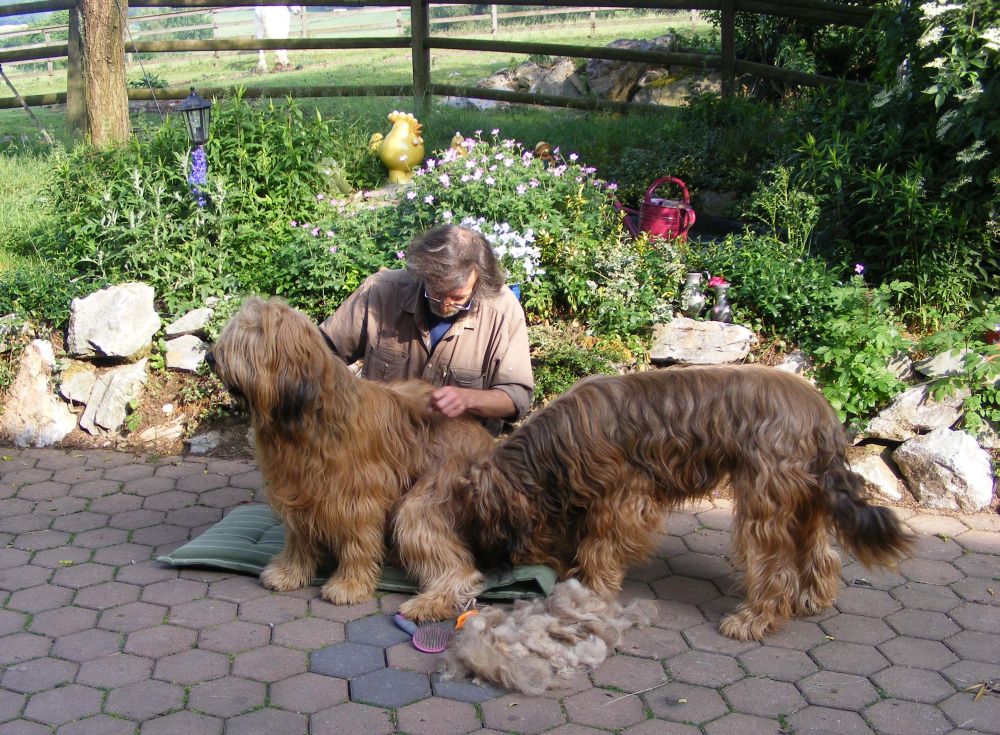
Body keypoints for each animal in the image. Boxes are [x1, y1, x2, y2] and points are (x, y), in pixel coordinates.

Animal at [207, 297, 493, 609]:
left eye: (246, 339)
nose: (209, 357)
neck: (305, 414)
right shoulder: (296, 488)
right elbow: (297, 535)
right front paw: (288, 573)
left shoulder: (358, 494)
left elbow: (358, 539)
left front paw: (349, 585)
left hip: (431, 494)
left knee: (461, 568)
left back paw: (426, 605)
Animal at [398, 365, 914, 640]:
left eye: (483, 524)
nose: (492, 566)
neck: (550, 454)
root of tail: (823, 415)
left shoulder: (622, 496)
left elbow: (602, 543)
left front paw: (592, 583)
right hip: (806, 497)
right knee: (820, 551)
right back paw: (813, 597)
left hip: (767, 495)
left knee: (774, 565)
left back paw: (753, 618)